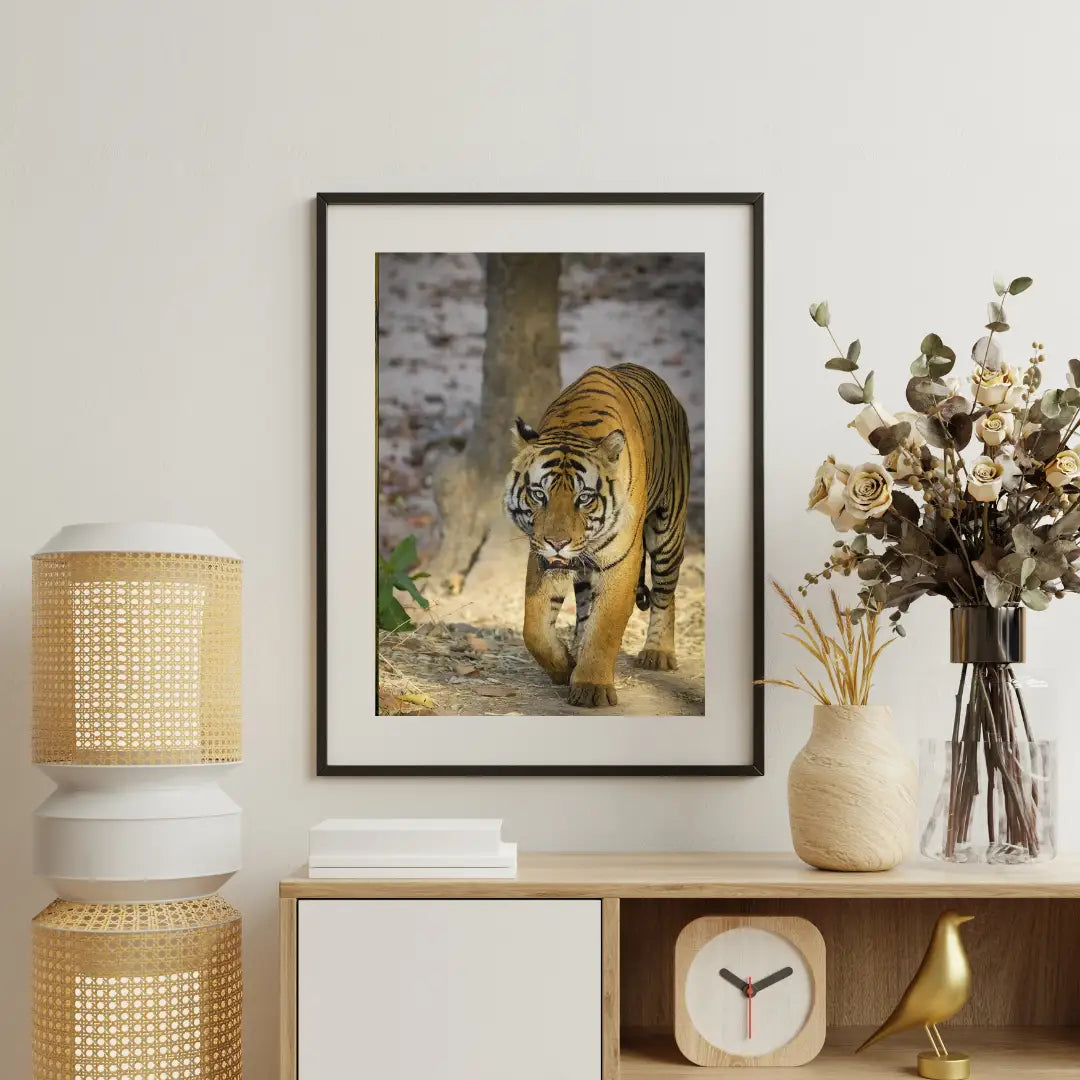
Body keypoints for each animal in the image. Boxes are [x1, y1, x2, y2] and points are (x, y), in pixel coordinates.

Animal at [504, 363, 691, 707]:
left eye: (584, 498)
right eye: (538, 495)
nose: (558, 543)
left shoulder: (622, 560)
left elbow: (605, 628)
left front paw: (591, 687)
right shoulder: (542, 557)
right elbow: (534, 628)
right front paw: (565, 667)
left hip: (668, 533)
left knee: (665, 594)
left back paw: (657, 653)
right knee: (584, 609)